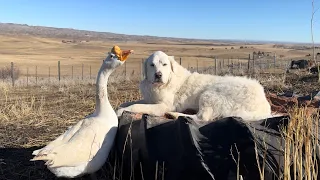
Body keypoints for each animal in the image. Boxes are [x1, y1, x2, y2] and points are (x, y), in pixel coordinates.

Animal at [117, 50, 272, 121]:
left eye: (165, 64)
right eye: (152, 65)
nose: (158, 75)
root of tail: (264, 104)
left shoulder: (162, 106)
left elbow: (136, 106)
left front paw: (120, 112)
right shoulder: (150, 99)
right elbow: (129, 103)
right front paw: (120, 107)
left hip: (208, 94)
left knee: (201, 117)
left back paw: (174, 114)